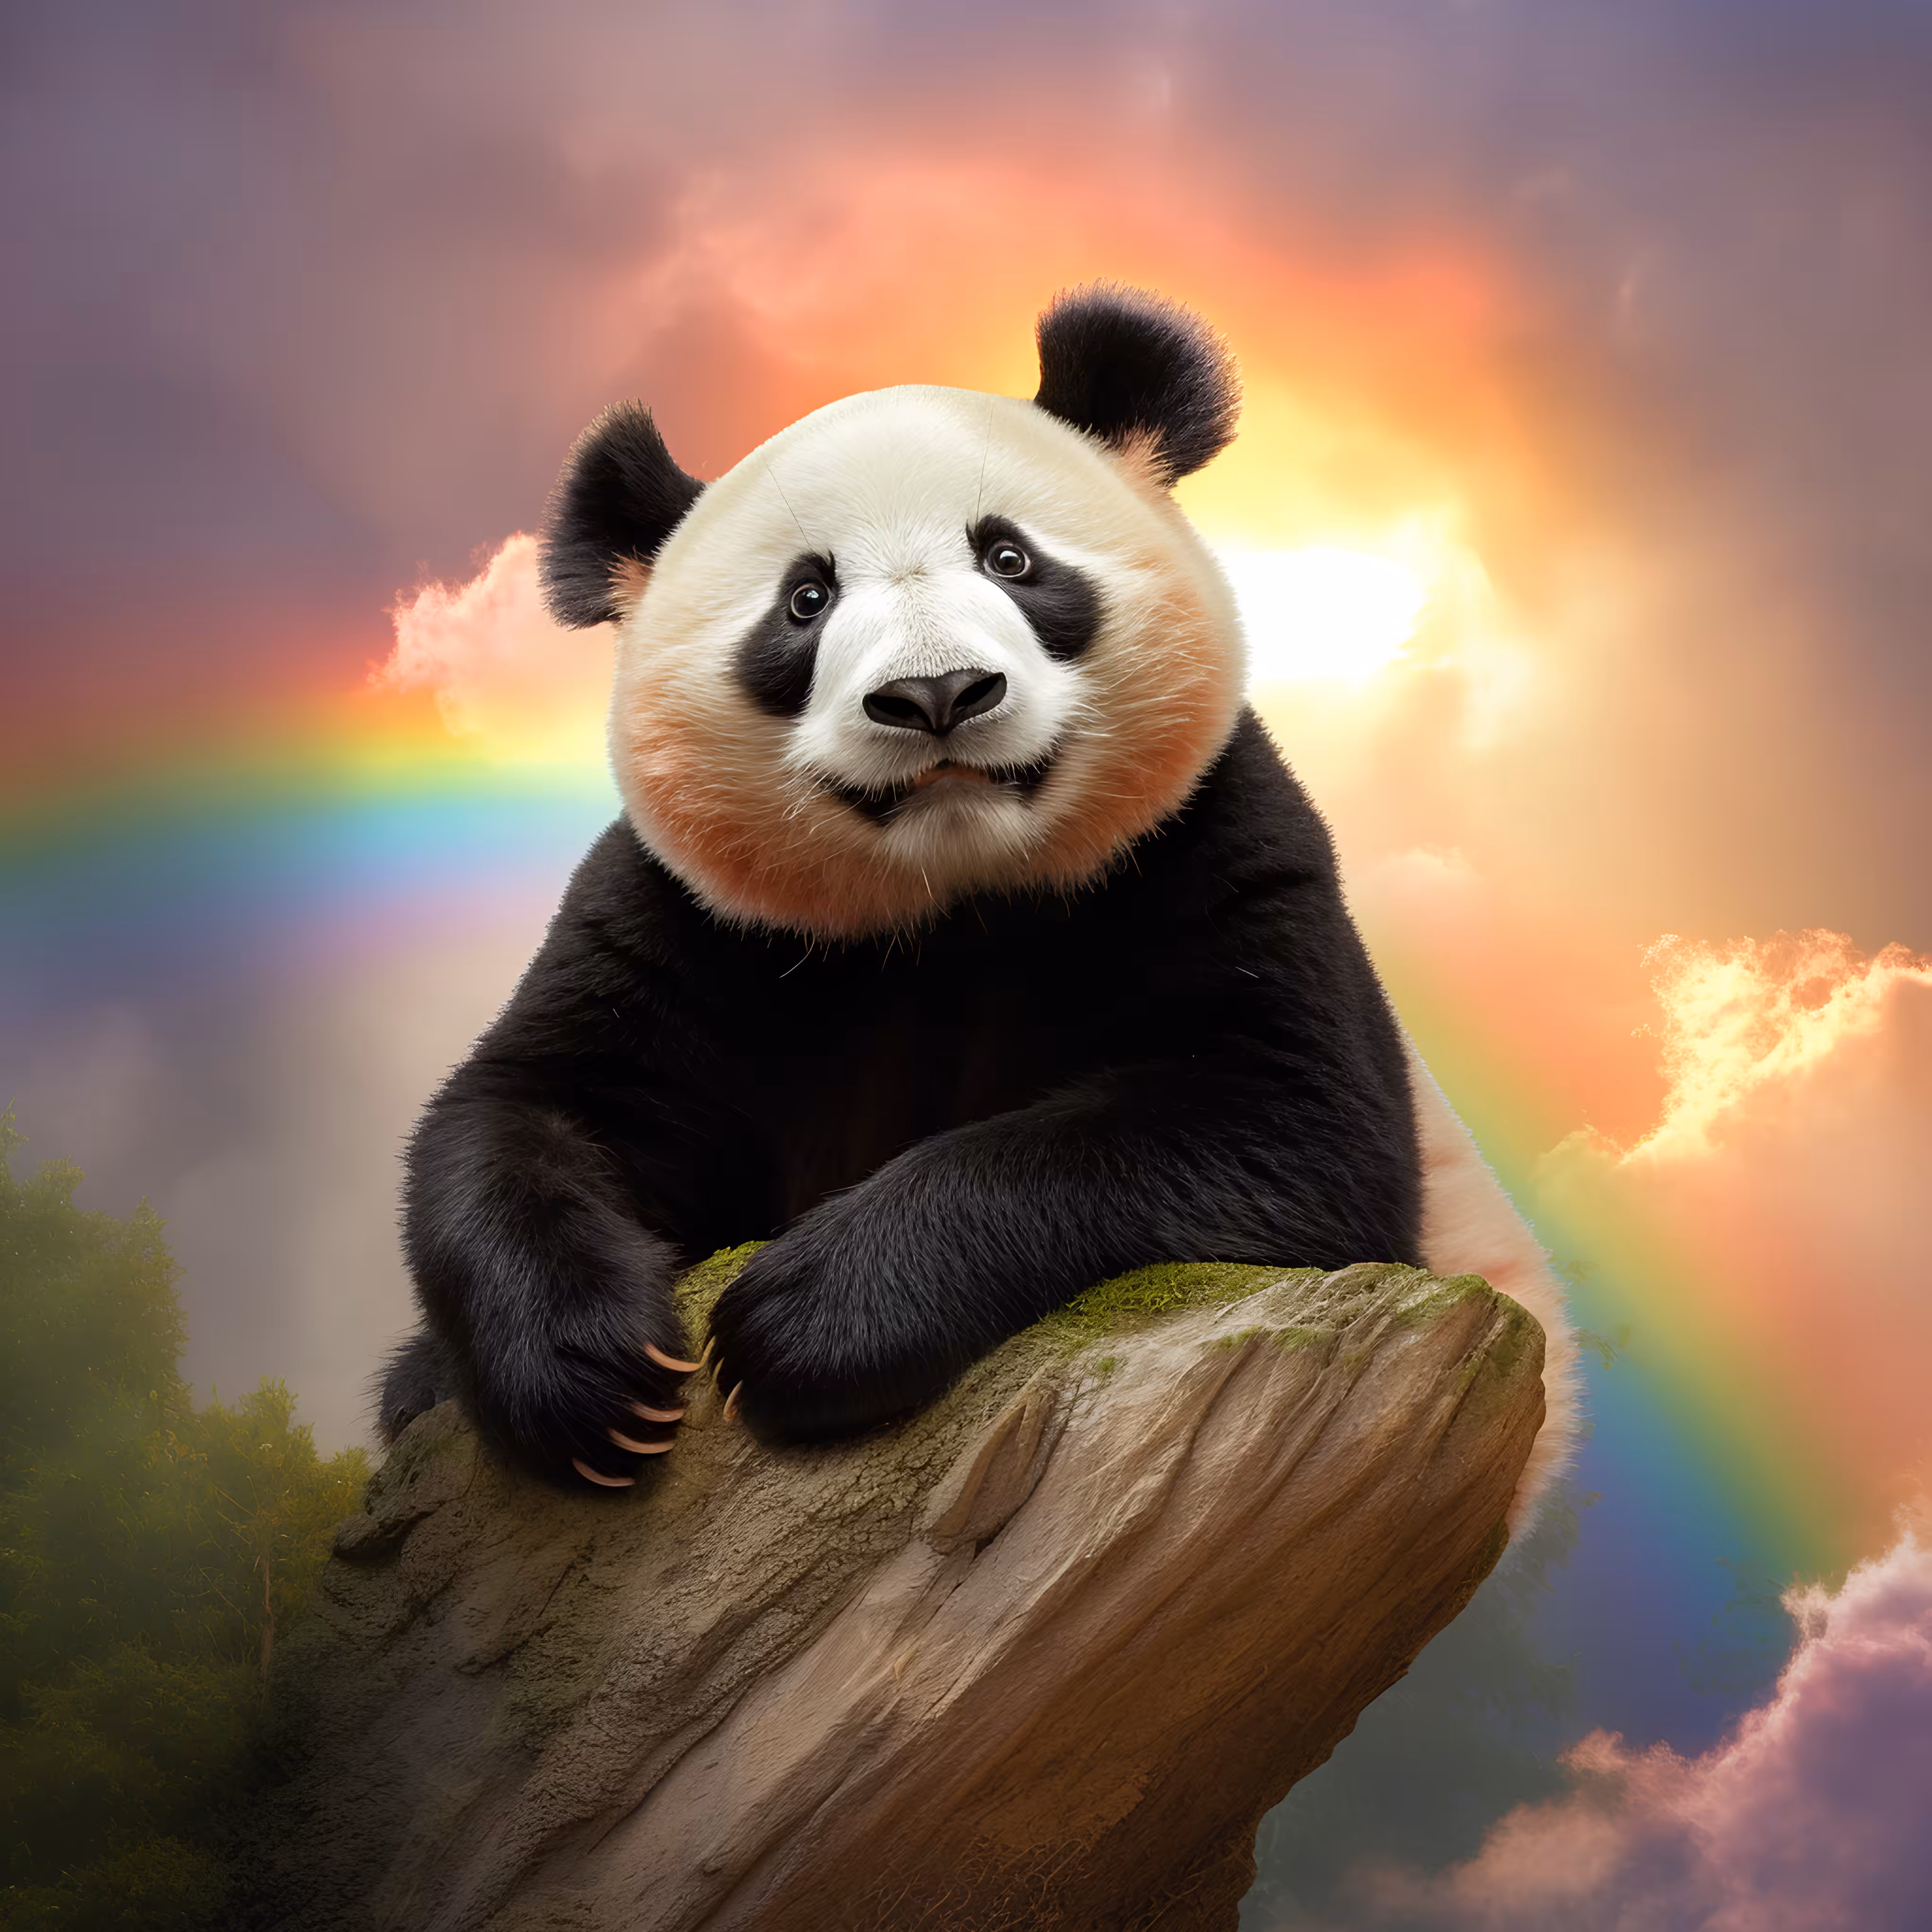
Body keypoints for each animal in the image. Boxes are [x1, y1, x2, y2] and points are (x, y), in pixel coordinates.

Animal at [381, 285, 1578, 1534]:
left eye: (1009, 557)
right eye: (805, 600)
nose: (936, 693)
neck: (949, 896)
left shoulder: (1215, 840)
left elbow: (1279, 1122)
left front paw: (806, 1324)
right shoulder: (695, 914)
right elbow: (535, 1107)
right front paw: (595, 1376)